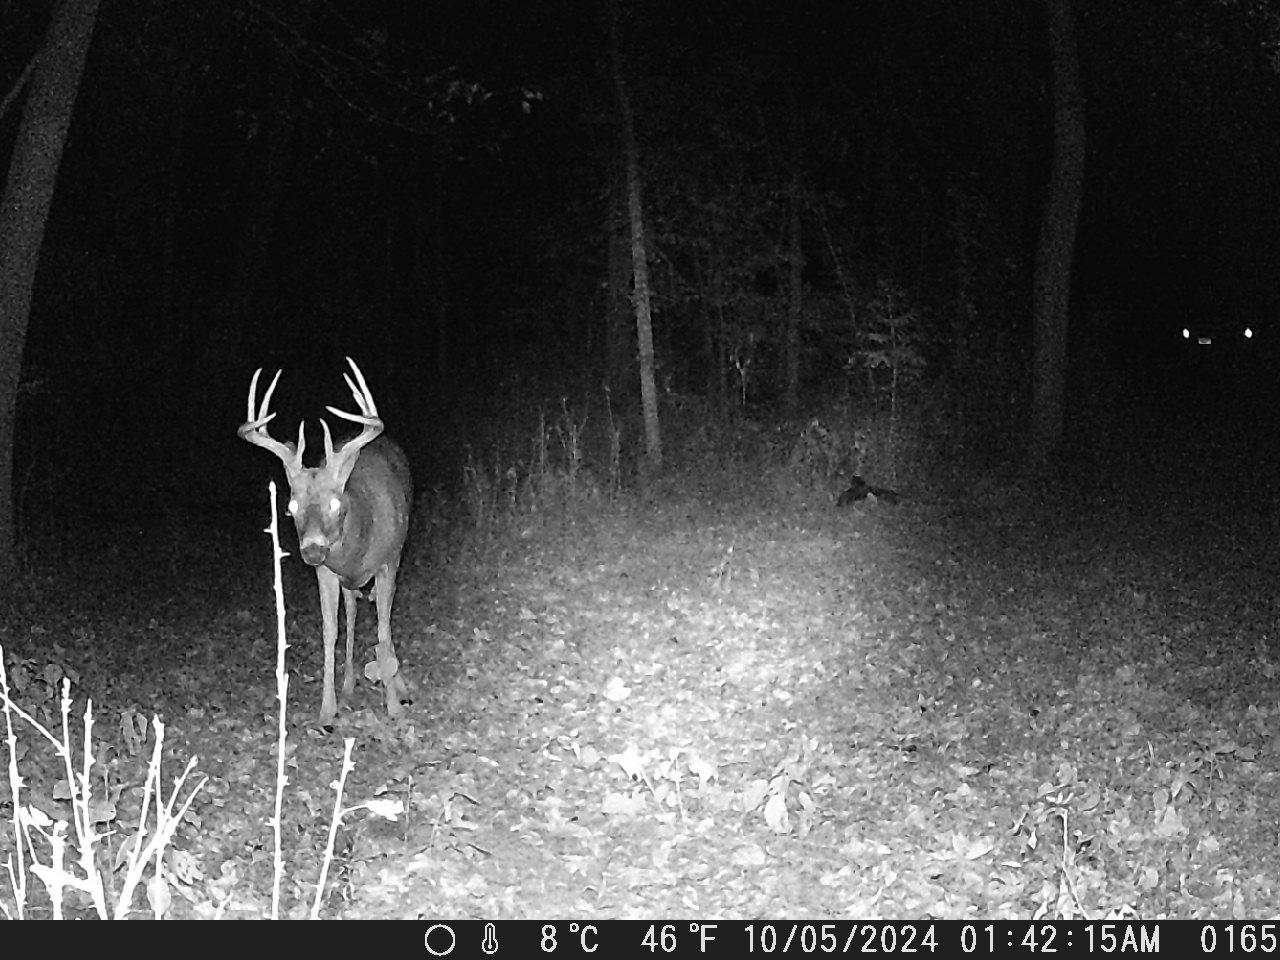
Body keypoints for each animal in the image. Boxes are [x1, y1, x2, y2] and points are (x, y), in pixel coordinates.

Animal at [238, 357, 413, 724]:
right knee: (352, 611)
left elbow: (383, 629)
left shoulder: (387, 562)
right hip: (346, 581)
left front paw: (392, 704)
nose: (314, 549)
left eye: (335, 503)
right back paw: (348, 686)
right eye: (291, 507)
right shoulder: (328, 573)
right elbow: (330, 631)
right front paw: (327, 709)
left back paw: (398, 684)